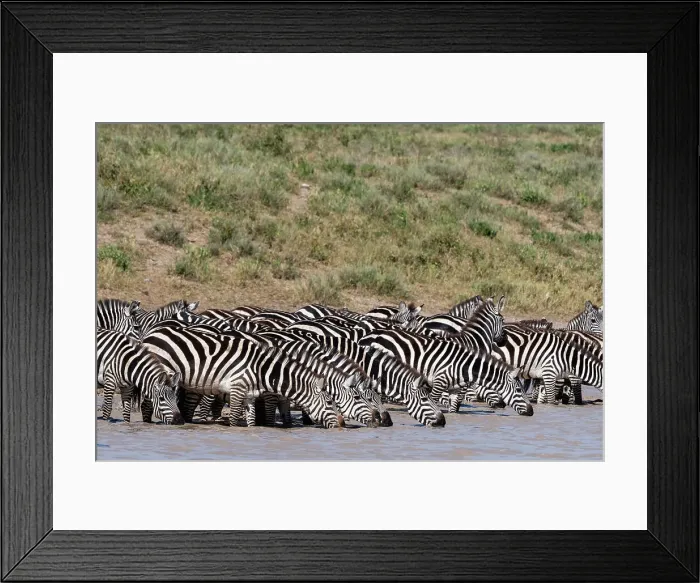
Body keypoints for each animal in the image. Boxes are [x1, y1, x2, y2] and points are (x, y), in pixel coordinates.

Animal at [142, 327, 342, 428]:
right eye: (329, 402)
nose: (338, 426)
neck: (261, 369)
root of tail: (151, 333)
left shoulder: (250, 395)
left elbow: (252, 423)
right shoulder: (237, 389)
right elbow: (233, 419)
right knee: (147, 401)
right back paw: (147, 424)